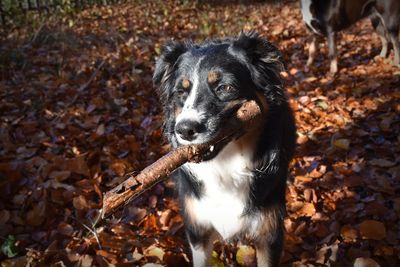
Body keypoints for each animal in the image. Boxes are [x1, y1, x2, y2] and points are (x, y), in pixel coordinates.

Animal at [153, 31, 296, 267]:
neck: (227, 165)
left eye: (225, 88)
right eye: (181, 92)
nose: (184, 130)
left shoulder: (269, 234)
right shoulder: (197, 230)